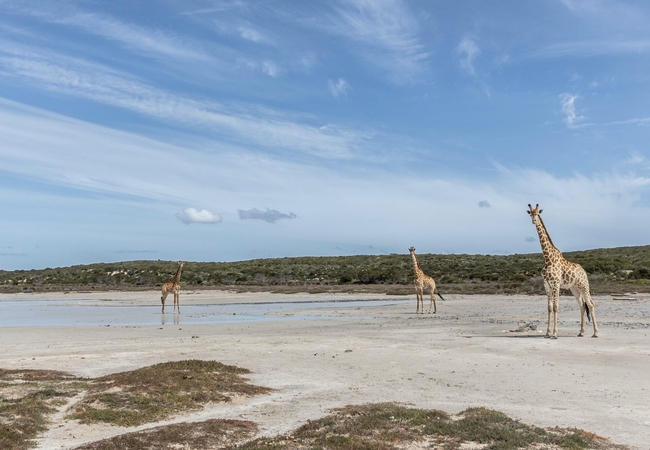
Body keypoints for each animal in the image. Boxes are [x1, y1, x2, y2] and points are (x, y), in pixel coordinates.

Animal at [524, 204, 596, 338]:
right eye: (530, 213)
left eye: (538, 213)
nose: (534, 221)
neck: (548, 259)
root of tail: (584, 271)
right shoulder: (546, 284)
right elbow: (549, 308)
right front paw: (547, 333)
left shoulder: (556, 283)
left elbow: (556, 307)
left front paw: (555, 334)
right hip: (574, 288)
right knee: (582, 306)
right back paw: (581, 332)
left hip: (584, 285)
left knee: (590, 304)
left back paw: (596, 333)